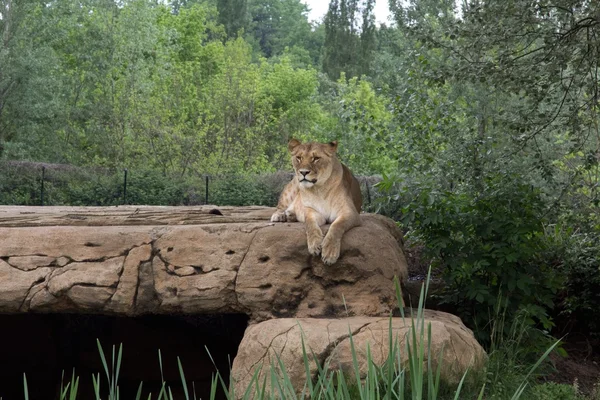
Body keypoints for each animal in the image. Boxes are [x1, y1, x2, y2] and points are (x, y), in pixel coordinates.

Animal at [270, 138, 364, 266]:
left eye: (316, 158)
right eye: (299, 158)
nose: (303, 172)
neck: (320, 189)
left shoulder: (350, 213)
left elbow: (337, 226)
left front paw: (329, 252)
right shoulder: (311, 211)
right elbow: (310, 225)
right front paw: (314, 245)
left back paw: (290, 216)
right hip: (292, 186)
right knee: (280, 207)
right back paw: (280, 216)